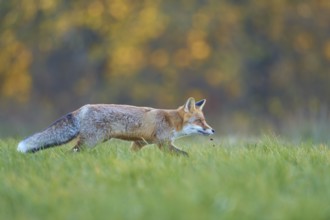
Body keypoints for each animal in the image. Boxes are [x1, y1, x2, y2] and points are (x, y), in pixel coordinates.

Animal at [17, 97, 214, 156]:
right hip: (90, 142)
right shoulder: (163, 143)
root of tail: (83, 108)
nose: (213, 130)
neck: (171, 121)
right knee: (69, 153)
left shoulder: (139, 143)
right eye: (199, 121)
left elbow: (132, 156)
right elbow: (185, 154)